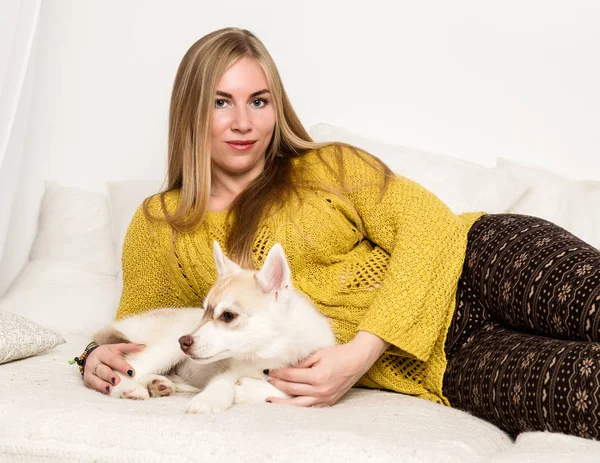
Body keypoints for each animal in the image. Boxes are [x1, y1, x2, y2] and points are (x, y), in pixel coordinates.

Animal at [94, 243, 338, 414]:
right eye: (204, 312)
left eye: (228, 316)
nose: (184, 341)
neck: (268, 352)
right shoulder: (228, 370)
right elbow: (222, 383)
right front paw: (209, 399)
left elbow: (286, 393)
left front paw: (244, 390)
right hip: (165, 346)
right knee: (127, 369)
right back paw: (130, 389)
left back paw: (158, 384)